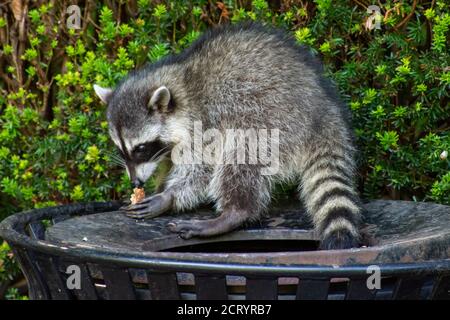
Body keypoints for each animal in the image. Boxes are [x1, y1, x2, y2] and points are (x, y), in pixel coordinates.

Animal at [95, 21, 362, 250]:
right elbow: (170, 163)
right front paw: (160, 186)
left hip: (274, 119)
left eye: (140, 148)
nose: (135, 183)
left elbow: (202, 169)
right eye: (121, 149)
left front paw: (168, 196)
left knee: (241, 155)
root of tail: (323, 111)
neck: (181, 84)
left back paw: (234, 212)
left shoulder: (205, 122)